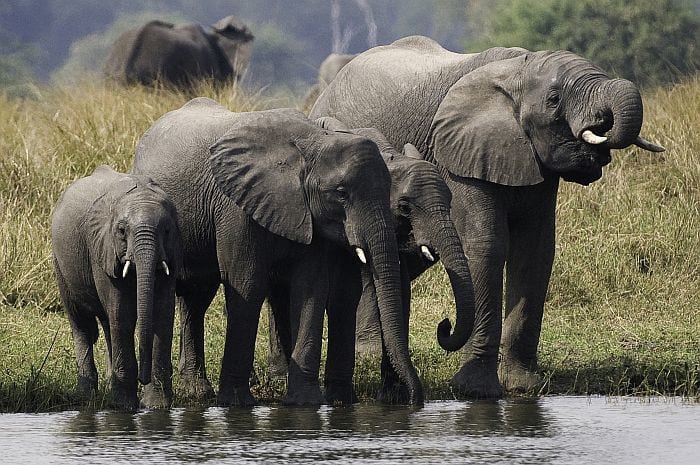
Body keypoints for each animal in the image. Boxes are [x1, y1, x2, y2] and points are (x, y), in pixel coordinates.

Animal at [53, 164, 182, 410]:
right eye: (122, 231)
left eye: (167, 231)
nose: (144, 378)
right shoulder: (102, 248)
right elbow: (122, 313)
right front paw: (125, 407)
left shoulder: (173, 253)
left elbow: (162, 312)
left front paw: (156, 407)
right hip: (60, 263)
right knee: (82, 324)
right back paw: (87, 396)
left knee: (106, 323)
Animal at [134, 98, 424, 406]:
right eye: (340, 192)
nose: (413, 401)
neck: (313, 142)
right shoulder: (236, 205)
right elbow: (246, 283)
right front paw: (236, 404)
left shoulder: (308, 213)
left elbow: (310, 288)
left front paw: (305, 402)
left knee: (196, 296)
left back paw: (196, 390)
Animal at [268, 117, 476, 402]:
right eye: (404, 207)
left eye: (451, 202)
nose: (444, 324)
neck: (391, 156)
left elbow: (398, 289)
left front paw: (394, 395)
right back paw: (279, 376)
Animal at [314, 37, 668, 398]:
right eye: (554, 100)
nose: (444, 325)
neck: (518, 70)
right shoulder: (459, 152)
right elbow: (486, 245)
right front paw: (477, 391)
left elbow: (536, 251)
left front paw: (524, 387)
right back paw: (368, 352)